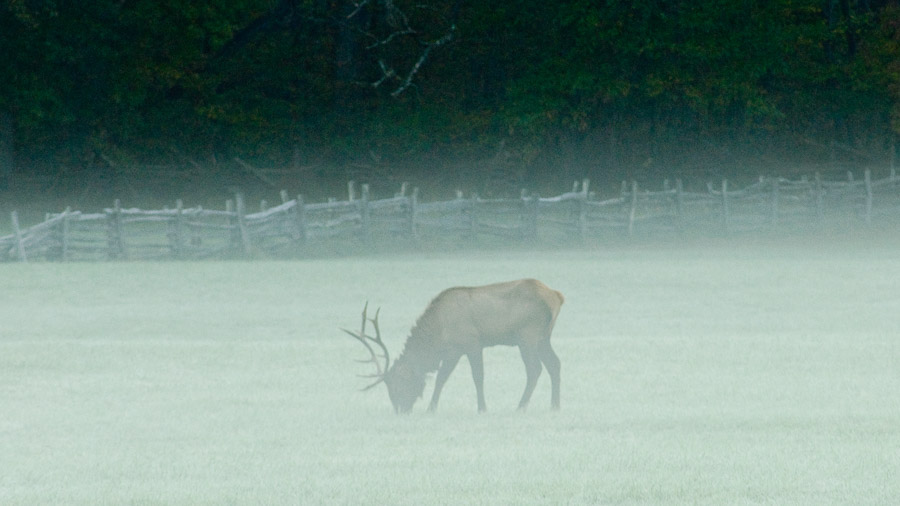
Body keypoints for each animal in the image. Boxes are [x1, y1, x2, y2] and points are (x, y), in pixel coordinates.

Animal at [342, 278, 564, 414]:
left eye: (397, 382)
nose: (400, 410)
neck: (438, 332)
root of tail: (557, 296)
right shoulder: (453, 350)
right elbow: (442, 378)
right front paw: (431, 408)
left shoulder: (471, 343)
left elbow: (477, 377)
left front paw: (482, 408)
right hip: (544, 337)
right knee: (555, 364)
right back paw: (554, 405)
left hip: (528, 335)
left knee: (535, 369)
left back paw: (521, 406)